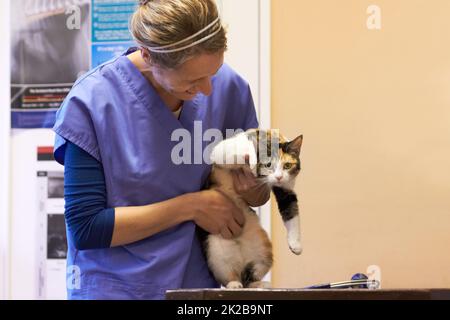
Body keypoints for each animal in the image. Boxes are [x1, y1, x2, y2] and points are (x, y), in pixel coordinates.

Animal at [203, 129, 302, 288]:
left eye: (287, 165)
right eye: (268, 164)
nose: (279, 176)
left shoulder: (285, 187)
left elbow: (291, 210)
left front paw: (296, 244)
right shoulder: (221, 152)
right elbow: (237, 148)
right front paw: (253, 160)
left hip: (264, 250)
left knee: (249, 277)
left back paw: (260, 284)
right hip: (216, 252)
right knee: (230, 273)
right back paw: (234, 284)